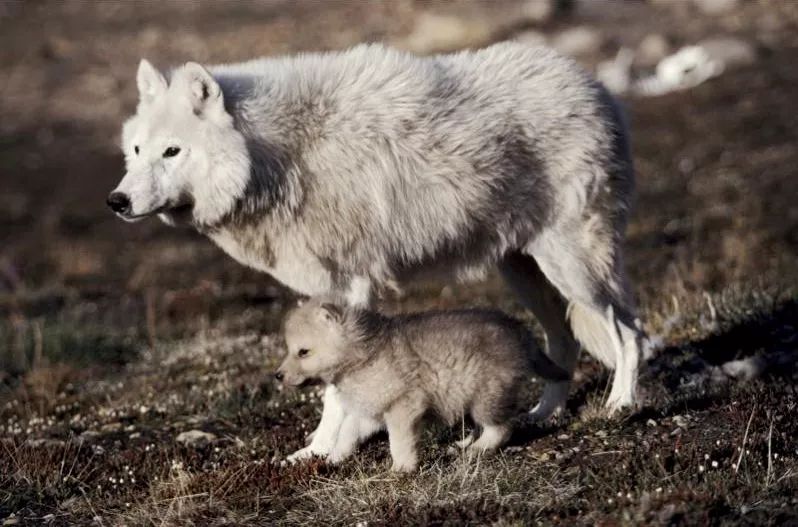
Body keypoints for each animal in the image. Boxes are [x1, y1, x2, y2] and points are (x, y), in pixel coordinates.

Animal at [278, 300, 572, 472]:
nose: (277, 376)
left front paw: (402, 468)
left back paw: (475, 450)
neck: (363, 354)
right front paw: (334, 459)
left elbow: (398, 442)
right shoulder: (371, 412)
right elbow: (345, 434)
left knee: (501, 429)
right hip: (472, 396)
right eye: (290, 349)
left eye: (303, 352)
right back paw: (462, 444)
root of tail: (520, 332)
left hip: (487, 395)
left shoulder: (403, 406)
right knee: (483, 426)